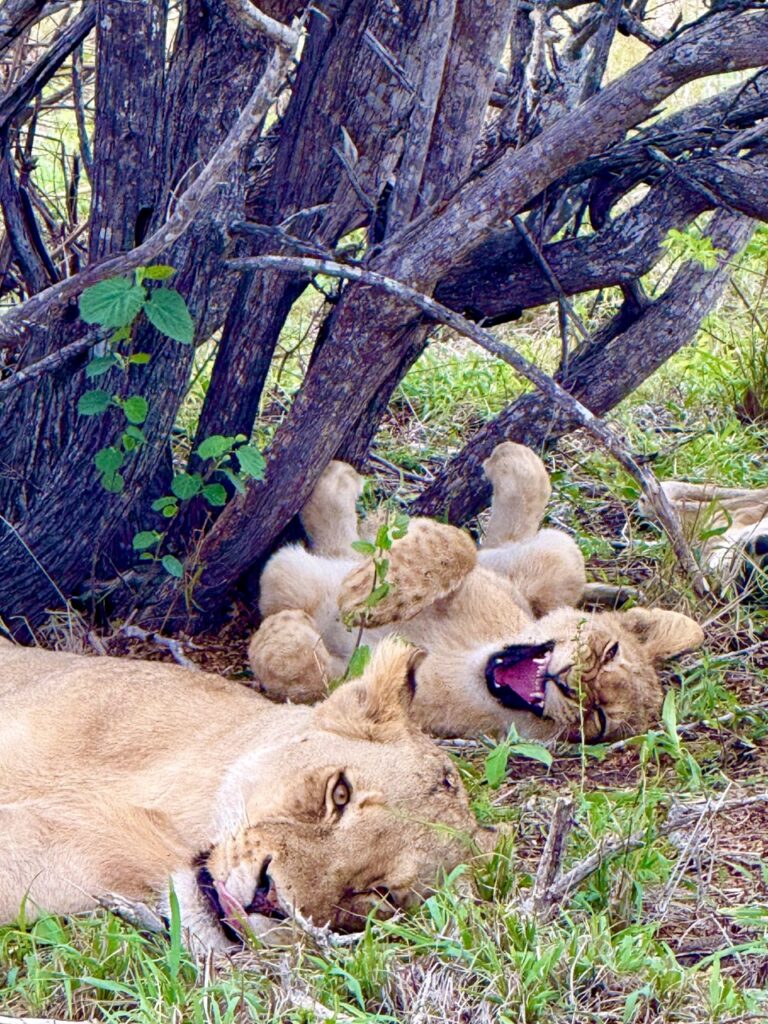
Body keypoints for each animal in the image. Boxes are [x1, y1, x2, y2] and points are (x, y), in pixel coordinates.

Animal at [249, 443, 704, 743]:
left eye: (599, 720)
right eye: (609, 650)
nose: (573, 687)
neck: (462, 661)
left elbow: (298, 669)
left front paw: (286, 630)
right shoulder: (515, 576)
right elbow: (465, 546)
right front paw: (367, 595)